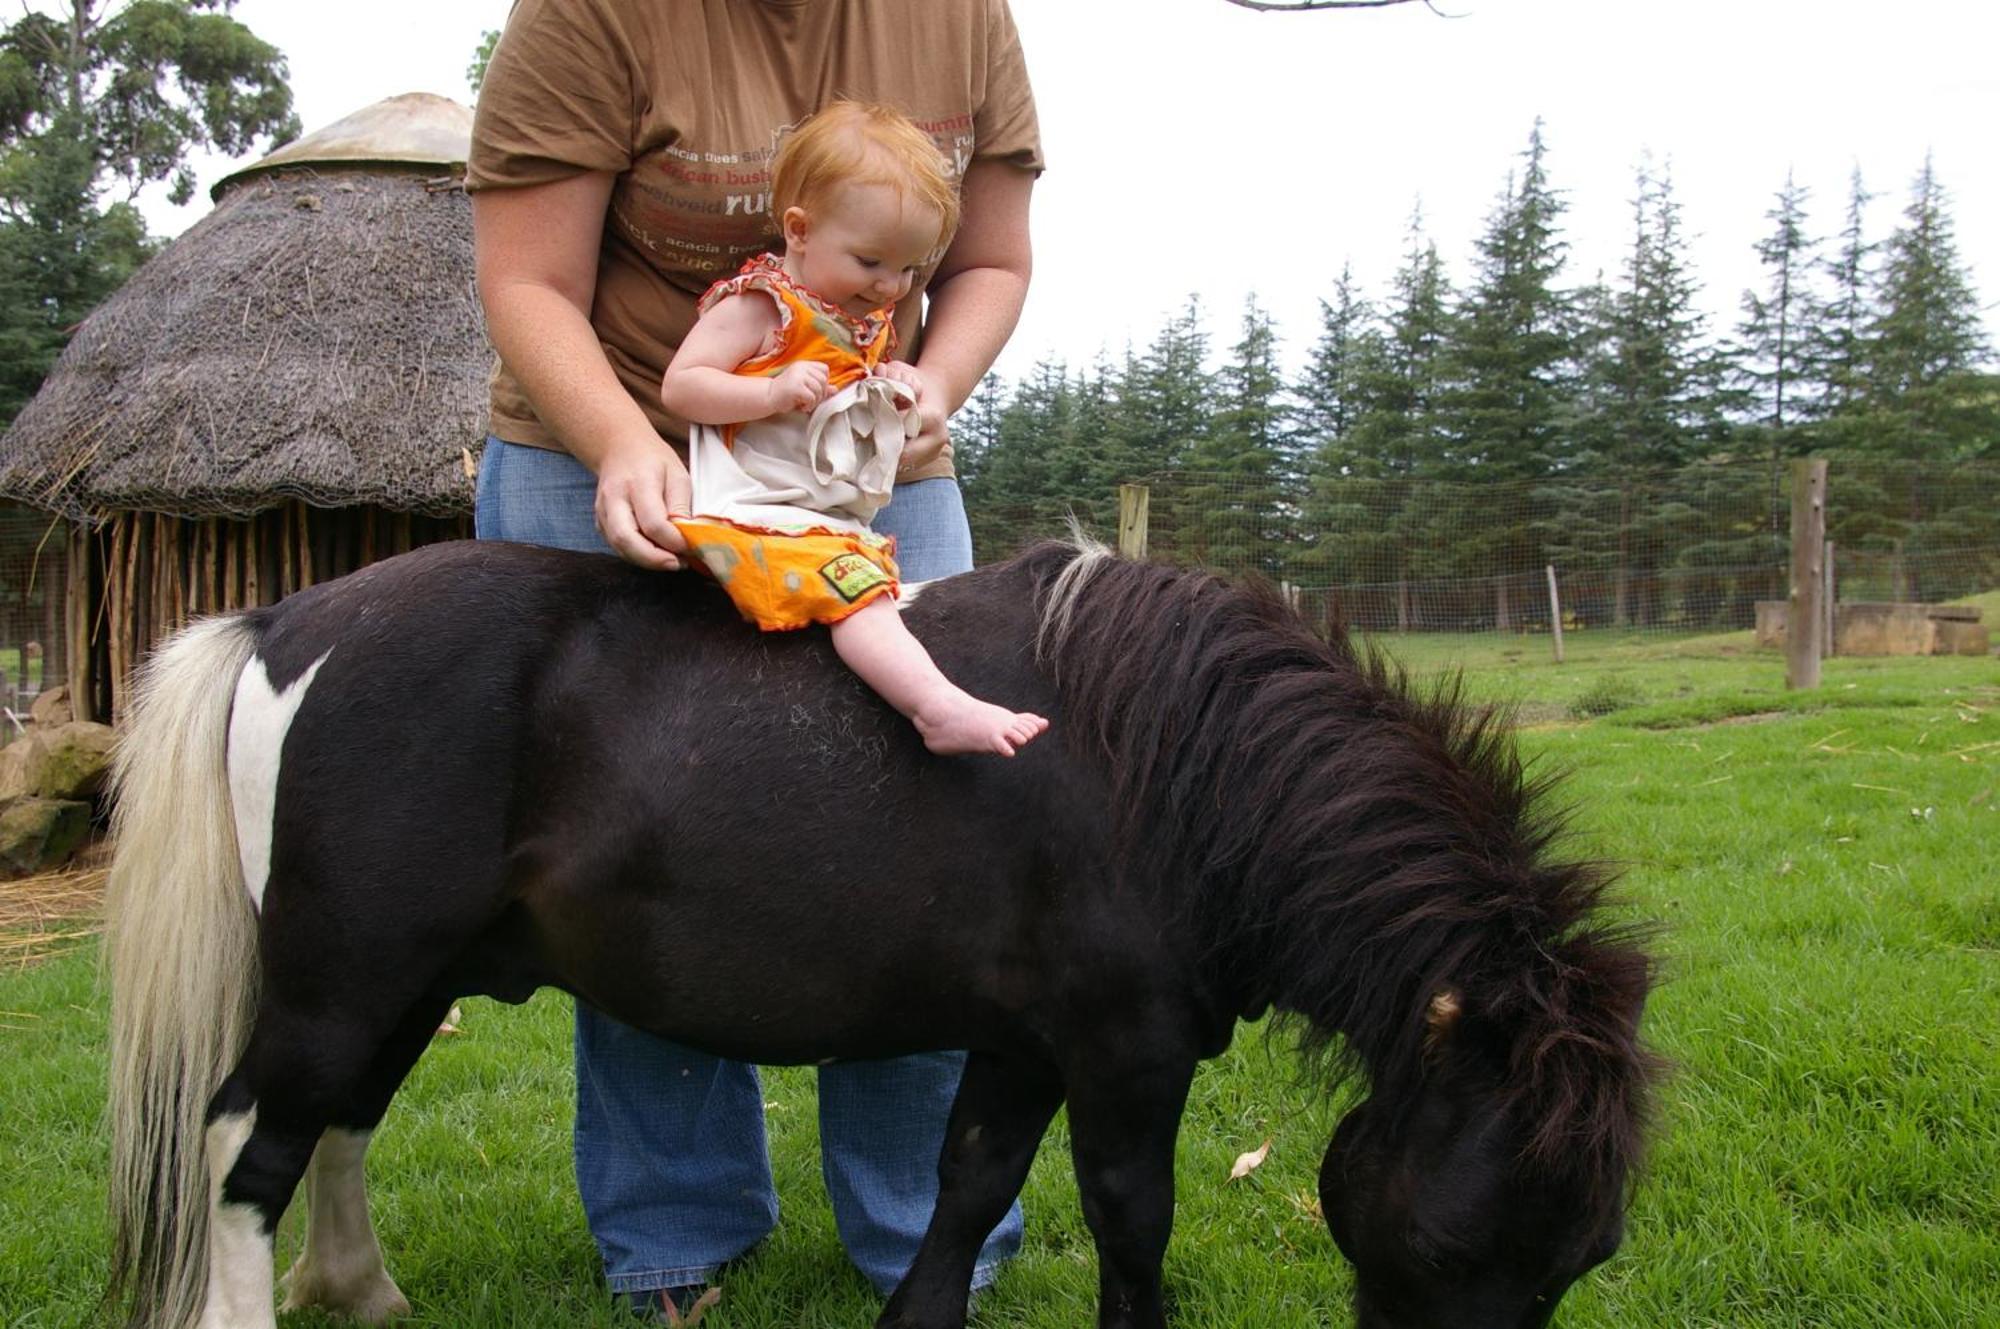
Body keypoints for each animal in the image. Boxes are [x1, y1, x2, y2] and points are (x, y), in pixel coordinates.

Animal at [105, 536, 1656, 1320]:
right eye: (1453, 1252)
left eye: (1584, 1258)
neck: (1171, 762)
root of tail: (282, 622)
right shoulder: (1126, 1053)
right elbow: (1131, 1221)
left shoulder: (1026, 1044)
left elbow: (966, 1188)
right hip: (341, 979)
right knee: (246, 1147)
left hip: (394, 983)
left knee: (335, 1129)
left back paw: (362, 1294)